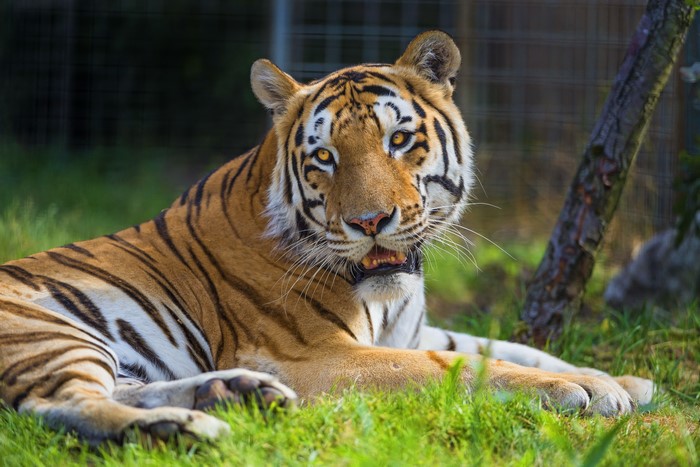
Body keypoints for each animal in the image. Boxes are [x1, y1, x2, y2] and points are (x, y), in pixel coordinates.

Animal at [0, 31, 653, 443]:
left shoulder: (410, 331)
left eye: (398, 140)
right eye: (323, 157)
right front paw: (580, 388)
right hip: (51, 334)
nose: (370, 222)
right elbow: (463, 365)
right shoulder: (317, 357)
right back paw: (188, 427)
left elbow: (509, 347)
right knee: (57, 406)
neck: (388, 296)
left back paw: (236, 394)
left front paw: (621, 381)